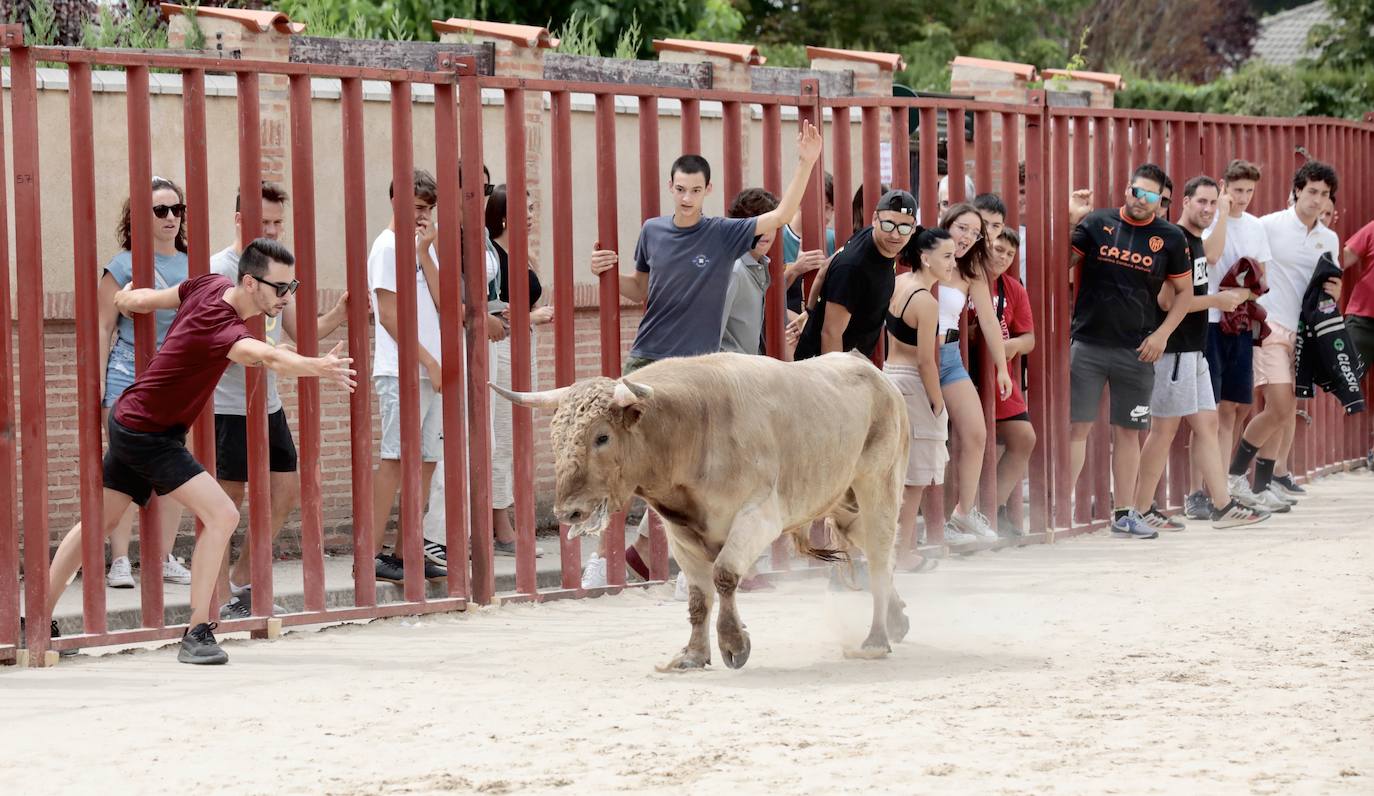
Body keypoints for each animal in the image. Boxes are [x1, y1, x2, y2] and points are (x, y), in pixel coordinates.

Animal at [494, 351, 912, 670]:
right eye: (556, 437)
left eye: (602, 436)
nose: (569, 512)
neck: (694, 426)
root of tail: (875, 374)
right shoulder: (680, 534)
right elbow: (698, 597)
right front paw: (693, 655)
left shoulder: (758, 516)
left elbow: (724, 575)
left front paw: (733, 644)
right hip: (843, 503)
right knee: (882, 555)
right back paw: (897, 620)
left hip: (878, 487)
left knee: (879, 558)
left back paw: (876, 640)